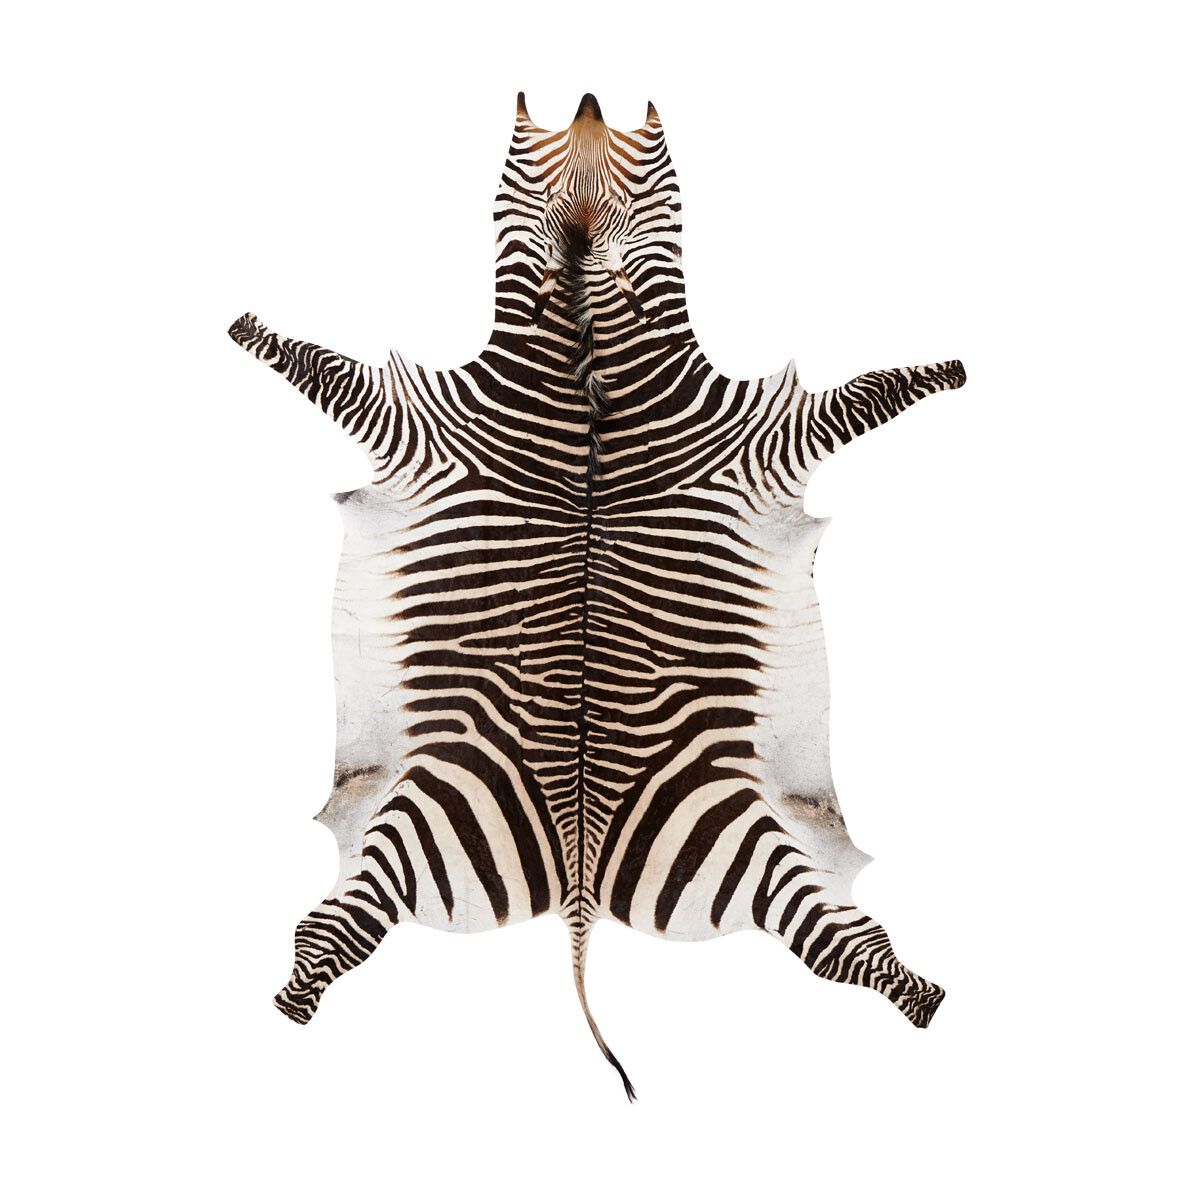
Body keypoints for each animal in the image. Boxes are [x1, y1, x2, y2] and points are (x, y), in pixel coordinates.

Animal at [228, 92, 966, 1099]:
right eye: (519, 158)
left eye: (654, 160)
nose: (584, 105)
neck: (586, 373)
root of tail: (578, 892)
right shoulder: (414, 429)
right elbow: (316, 365)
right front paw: (245, 328)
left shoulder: (765, 442)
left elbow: (871, 393)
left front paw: (951, 372)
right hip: (417, 819)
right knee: (331, 931)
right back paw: (288, 1005)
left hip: (739, 834)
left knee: (841, 947)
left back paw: (926, 997)